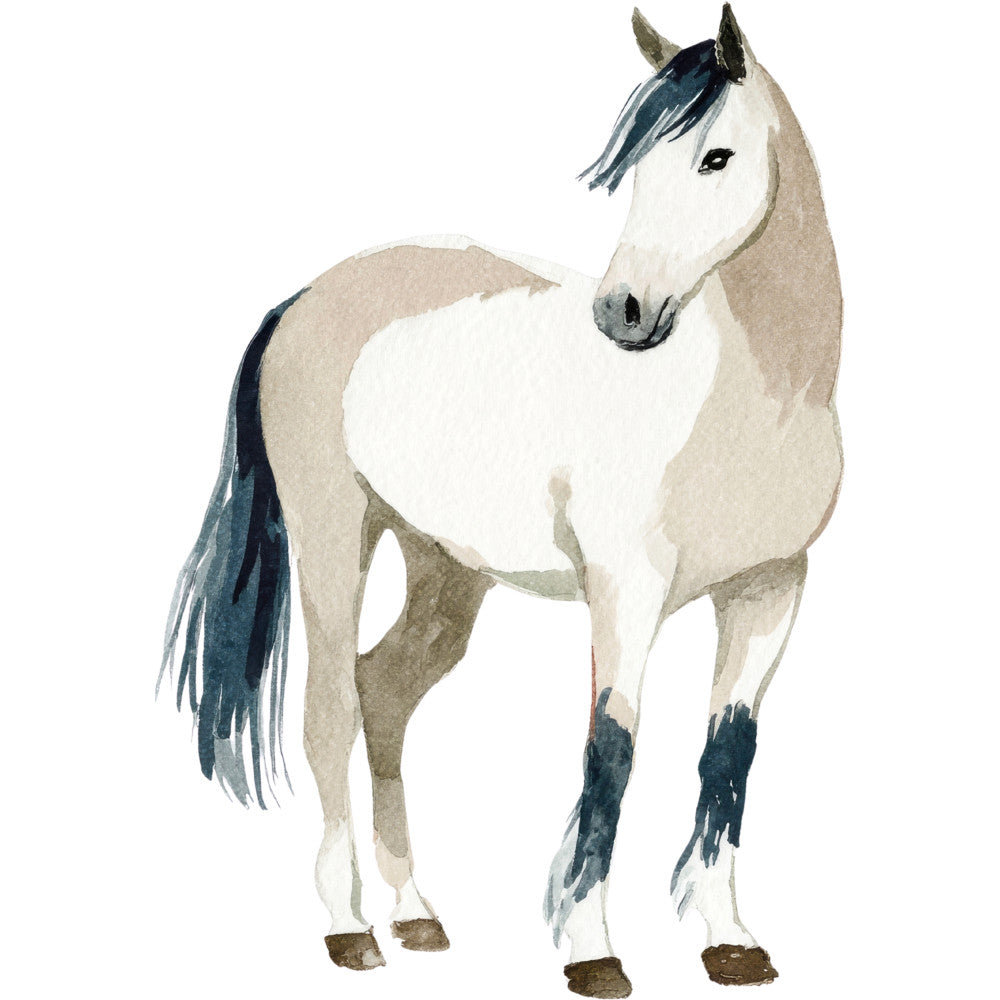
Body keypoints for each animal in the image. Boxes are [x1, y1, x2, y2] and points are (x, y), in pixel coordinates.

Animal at [160, 5, 842, 995]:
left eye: (716, 157)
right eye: (637, 167)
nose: (624, 311)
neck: (749, 398)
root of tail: (306, 297)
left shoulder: (771, 589)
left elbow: (728, 759)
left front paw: (732, 945)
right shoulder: (626, 593)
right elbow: (612, 753)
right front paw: (593, 953)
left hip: (446, 571)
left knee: (383, 691)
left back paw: (417, 915)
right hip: (335, 539)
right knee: (329, 710)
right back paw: (350, 929)